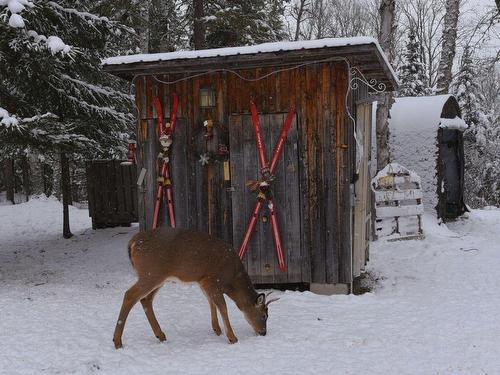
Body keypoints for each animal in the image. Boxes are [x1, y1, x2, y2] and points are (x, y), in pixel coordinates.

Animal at [111, 226, 280, 350]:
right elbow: (222, 306)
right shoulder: (212, 279)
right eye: (264, 316)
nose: (263, 333)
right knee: (130, 295)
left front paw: (216, 329)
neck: (232, 279)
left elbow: (211, 302)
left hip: (158, 277)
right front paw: (232, 337)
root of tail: (132, 243)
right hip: (151, 273)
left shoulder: (203, 281)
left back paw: (161, 335)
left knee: (146, 299)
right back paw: (118, 342)